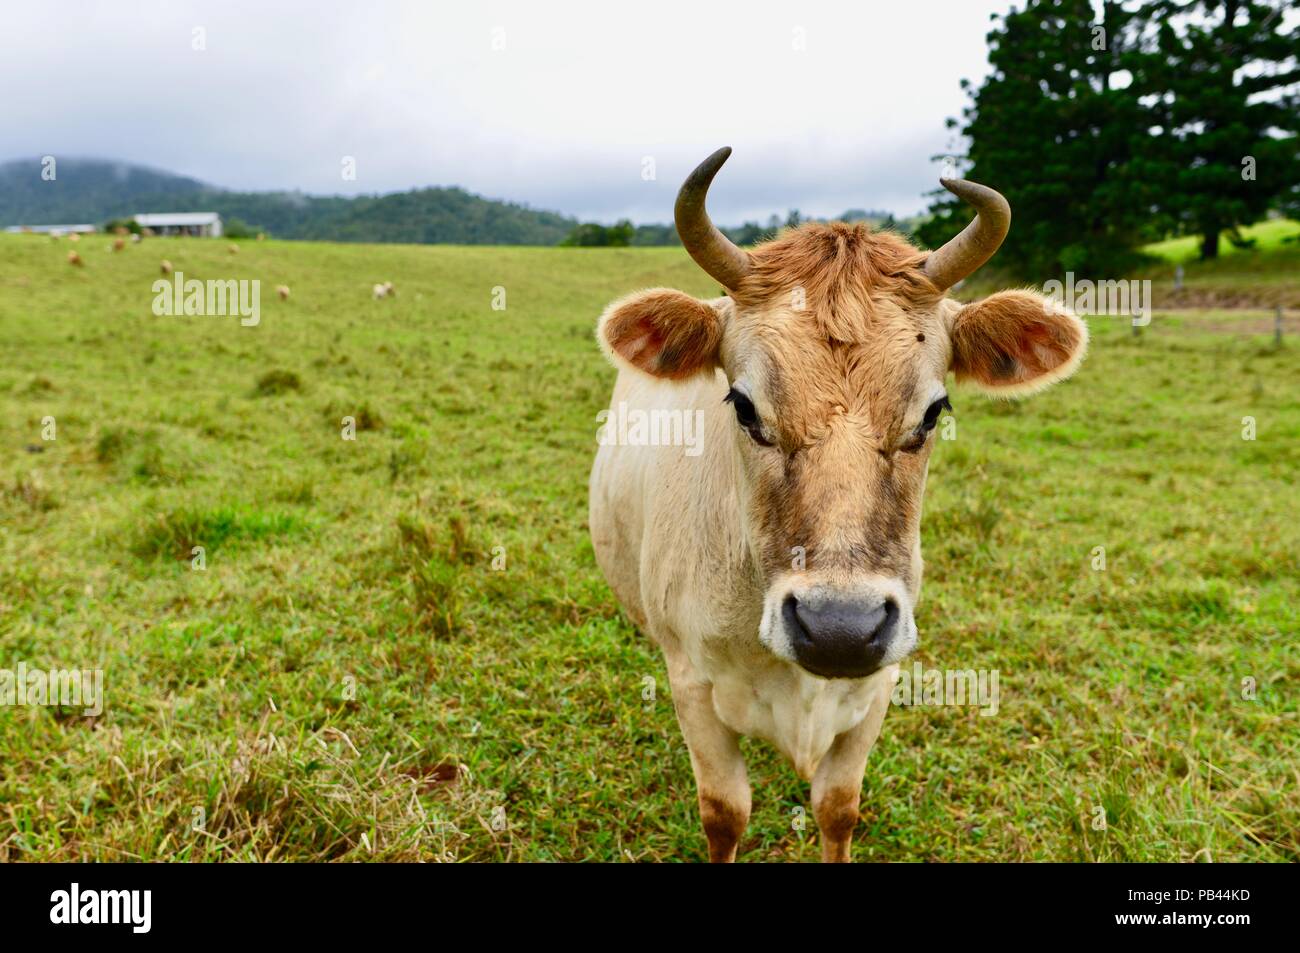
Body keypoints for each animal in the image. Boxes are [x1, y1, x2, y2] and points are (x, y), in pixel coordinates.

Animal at [590, 146, 1086, 863]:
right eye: (744, 405)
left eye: (933, 411)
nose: (839, 629)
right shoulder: (692, 686)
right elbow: (724, 812)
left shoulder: (876, 683)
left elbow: (838, 806)